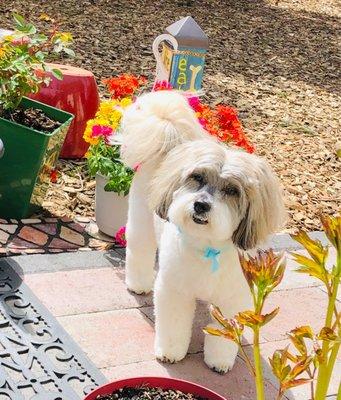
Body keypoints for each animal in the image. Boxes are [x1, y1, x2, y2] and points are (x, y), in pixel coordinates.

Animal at [119, 90, 284, 372]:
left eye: (232, 191)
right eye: (197, 178)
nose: (201, 204)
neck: (208, 247)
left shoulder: (232, 298)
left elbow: (225, 335)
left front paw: (219, 361)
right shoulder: (175, 290)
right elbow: (174, 324)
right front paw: (170, 352)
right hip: (142, 221)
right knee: (139, 251)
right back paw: (138, 284)